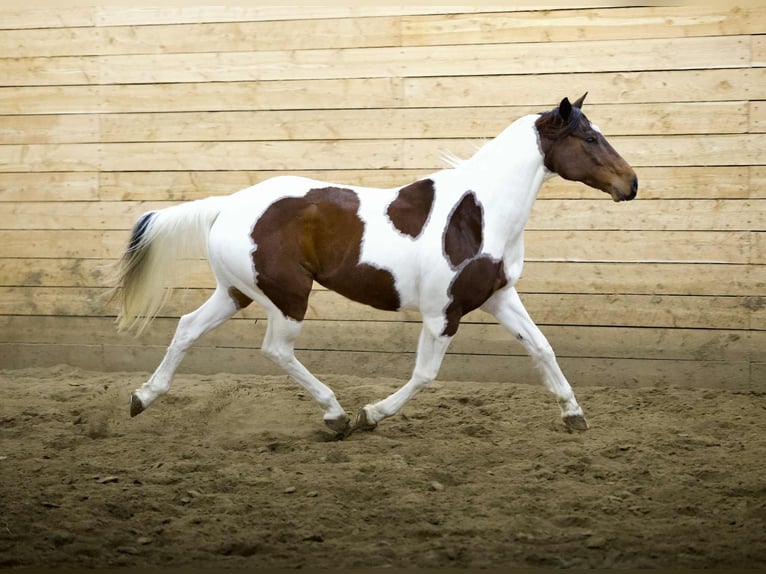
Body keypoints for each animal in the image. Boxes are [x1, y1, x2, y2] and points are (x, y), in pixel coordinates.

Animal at [116, 93, 637, 438]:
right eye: (590, 137)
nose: (631, 184)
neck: (477, 215)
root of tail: (227, 205)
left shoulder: (498, 297)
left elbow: (542, 348)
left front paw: (574, 415)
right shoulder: (442, 314)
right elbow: (425, 374)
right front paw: (371, 413)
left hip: (237, 292)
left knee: (187, 326)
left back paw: (142, 398)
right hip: (287, 297)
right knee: (276, 350)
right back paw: (336, 415)